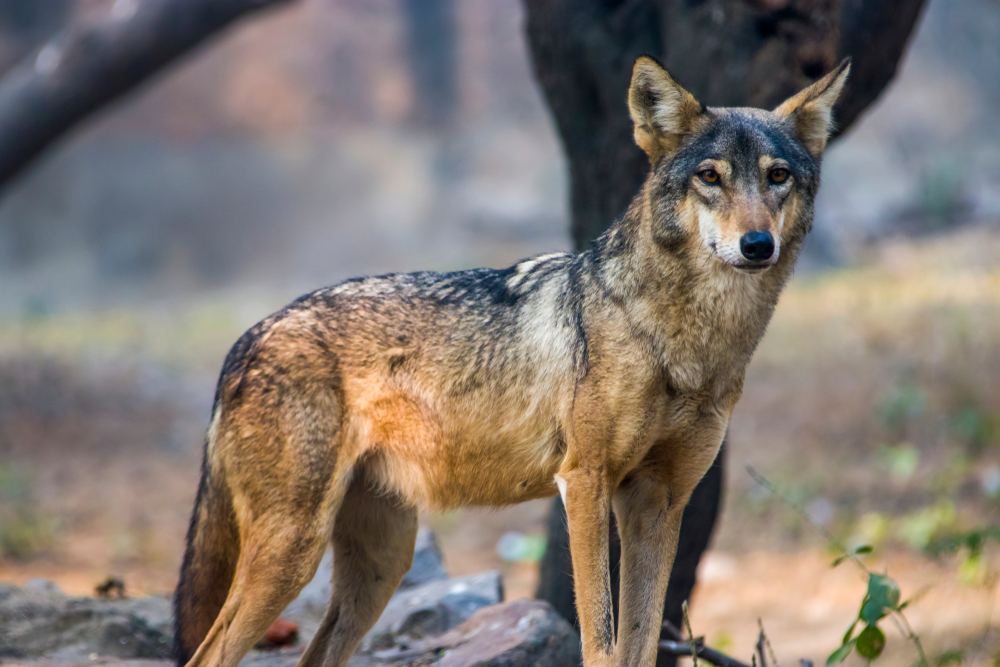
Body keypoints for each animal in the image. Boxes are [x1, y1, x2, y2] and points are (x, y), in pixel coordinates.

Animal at [176, 57, 848, 667]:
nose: (757, 245)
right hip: (294, 552)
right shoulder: (585, 482)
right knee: (207, 655)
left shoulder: (658, 501)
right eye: (711, 176)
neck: (683, 344)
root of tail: (249, 337)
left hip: (381, 565)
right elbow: (602, 643)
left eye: (777, 176)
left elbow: (640, 644)